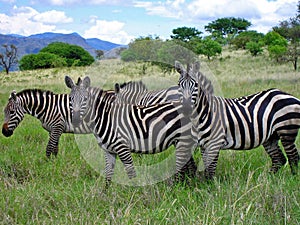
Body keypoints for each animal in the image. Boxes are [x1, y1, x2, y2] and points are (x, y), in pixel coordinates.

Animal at [65, 76, 197, 185]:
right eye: (70, 99)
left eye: (85, 99)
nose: (75, 120)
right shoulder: (108, 151)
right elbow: (108, 175)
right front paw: (105, 195)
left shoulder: (123, 147)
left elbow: (131, 173)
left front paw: (134, 193)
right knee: (189, 164)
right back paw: (187, 185)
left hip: (183, 140)